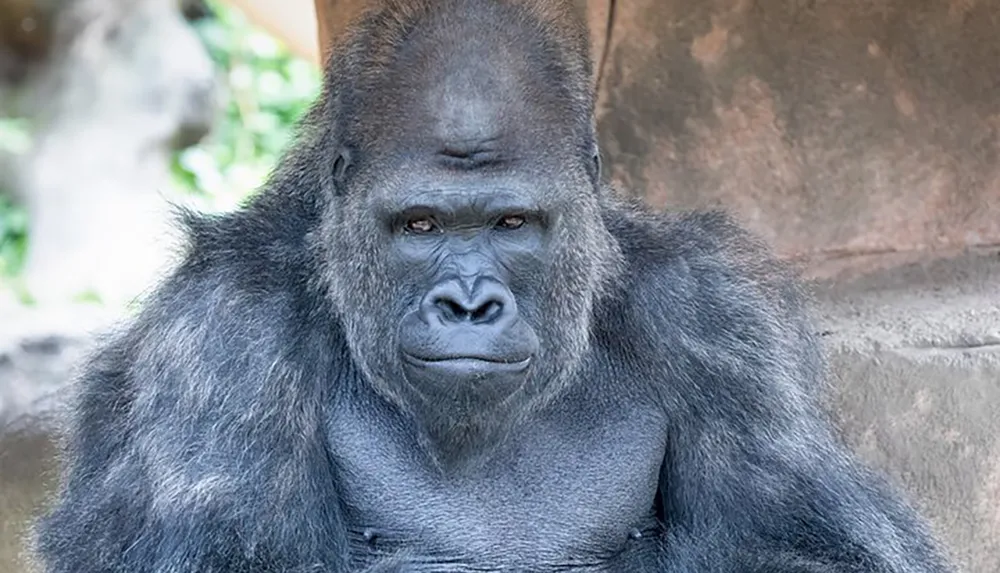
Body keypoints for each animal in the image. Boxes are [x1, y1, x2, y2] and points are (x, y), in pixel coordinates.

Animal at [31, 1, 952, 572]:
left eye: (512, 223)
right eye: (420, 226)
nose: (468, 305)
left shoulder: (716, 321)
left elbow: (812, 545)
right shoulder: (222, 330)